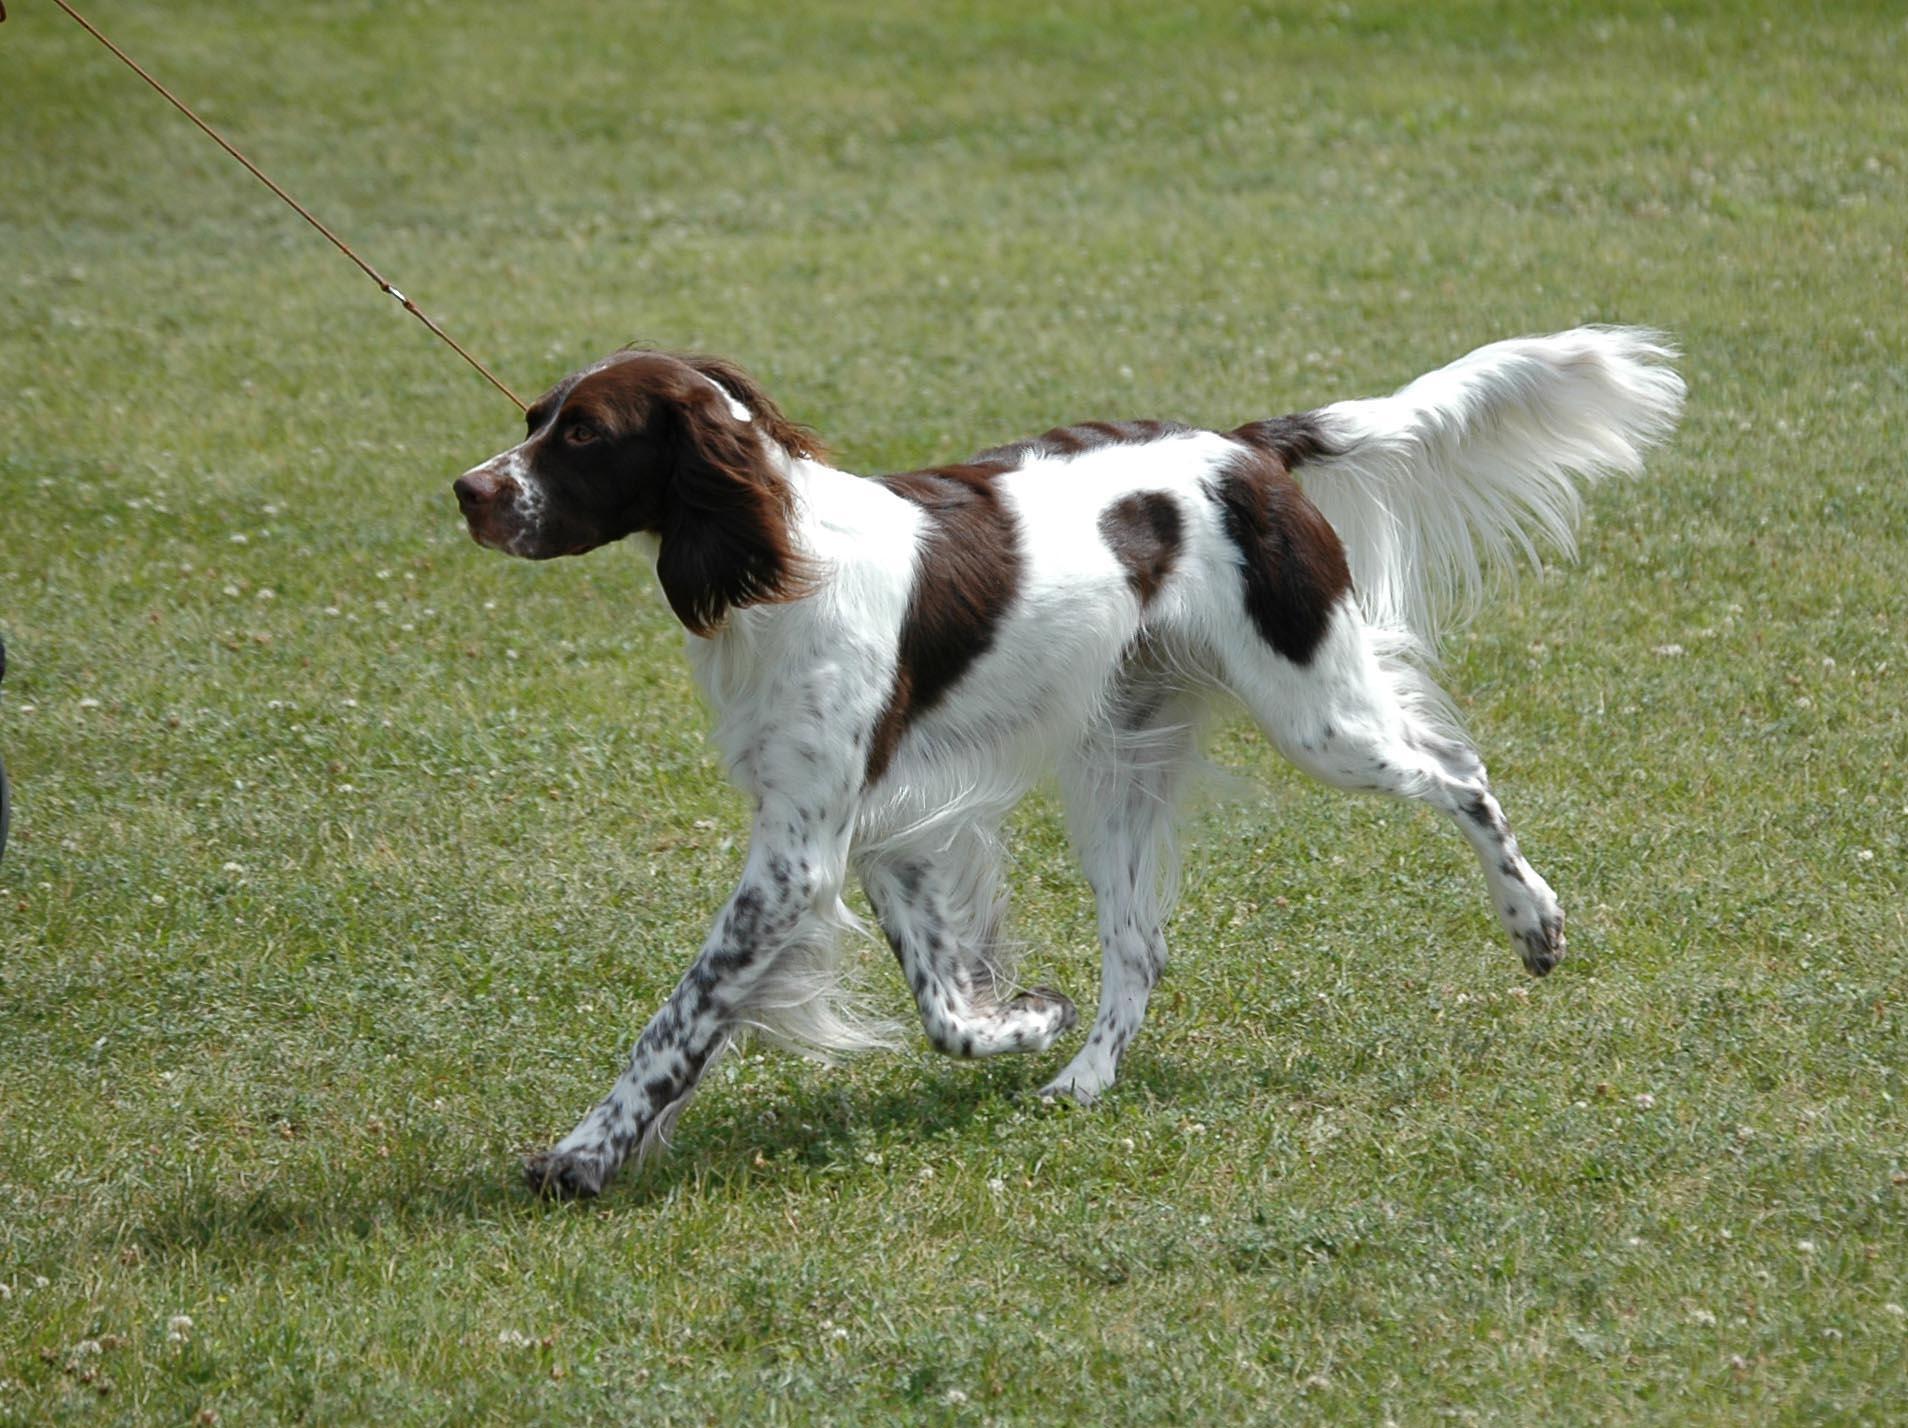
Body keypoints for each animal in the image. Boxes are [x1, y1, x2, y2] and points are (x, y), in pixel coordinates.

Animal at [454, 322, 1679, 1191]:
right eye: (536, 416)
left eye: (583, 435)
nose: (467, 492)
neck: (777, 557)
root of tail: (1246, 445)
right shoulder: (879, 830)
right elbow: (945, 1010)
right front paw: (1027, 1017)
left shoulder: (798, 857)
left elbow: (681, 1018)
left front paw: (586, 1154)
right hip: (1117, 766)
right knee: (1141, 946)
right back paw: (1085, 1076)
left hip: (1320, 719)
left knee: (1463, 781)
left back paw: (1534, 921)